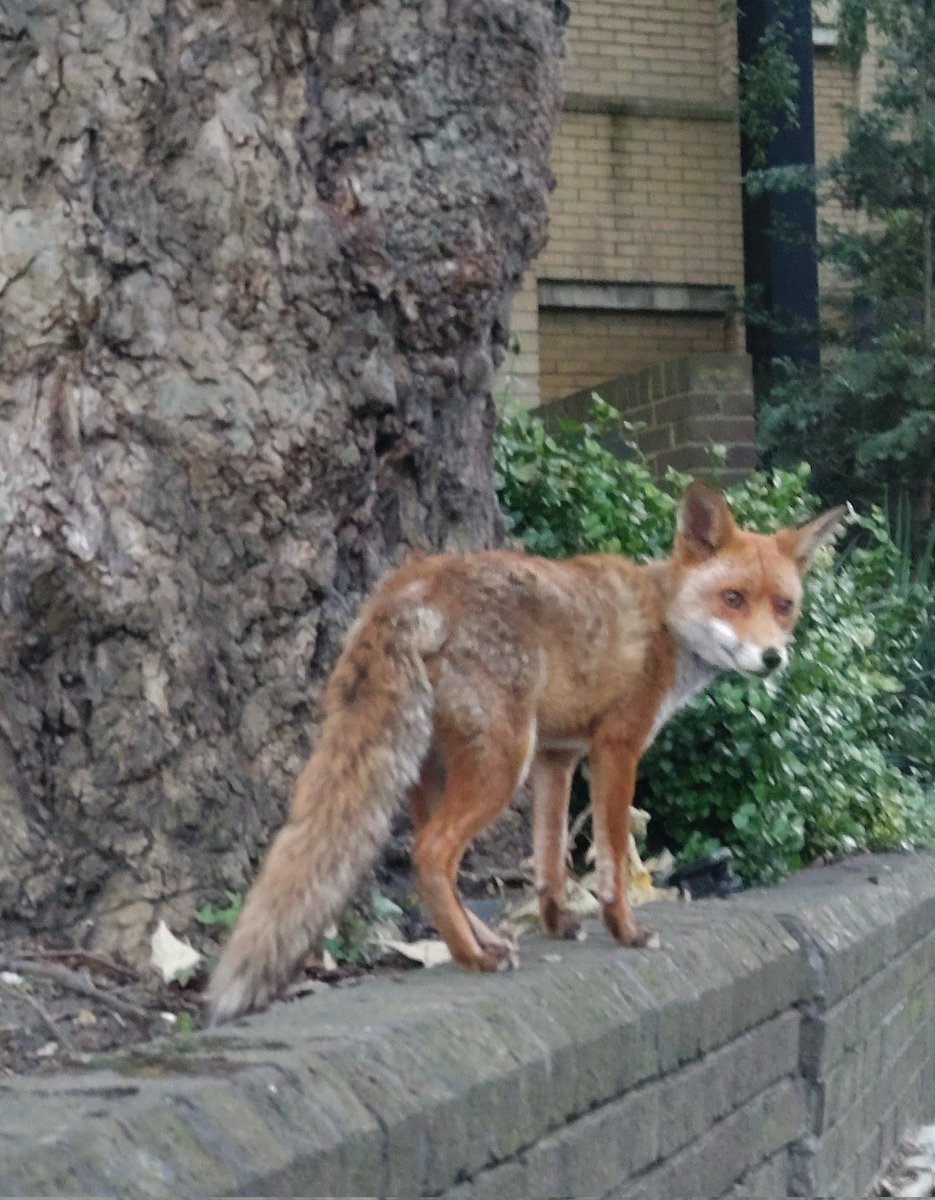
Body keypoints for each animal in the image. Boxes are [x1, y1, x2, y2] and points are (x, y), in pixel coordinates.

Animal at [207, 481, 847, 1023]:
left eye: (783, 606)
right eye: (733, 598)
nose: (772, 658)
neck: (664, 626)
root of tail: (414, 586)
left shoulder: (557, 758)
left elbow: (549, 857)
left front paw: (559, 923)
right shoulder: (616, 748)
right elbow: (612, 859)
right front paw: (626, 931)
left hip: (440, 769)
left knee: (431, 860)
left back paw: (482, 941)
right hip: (499, 765)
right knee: (431, 854)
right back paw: (473, 957)